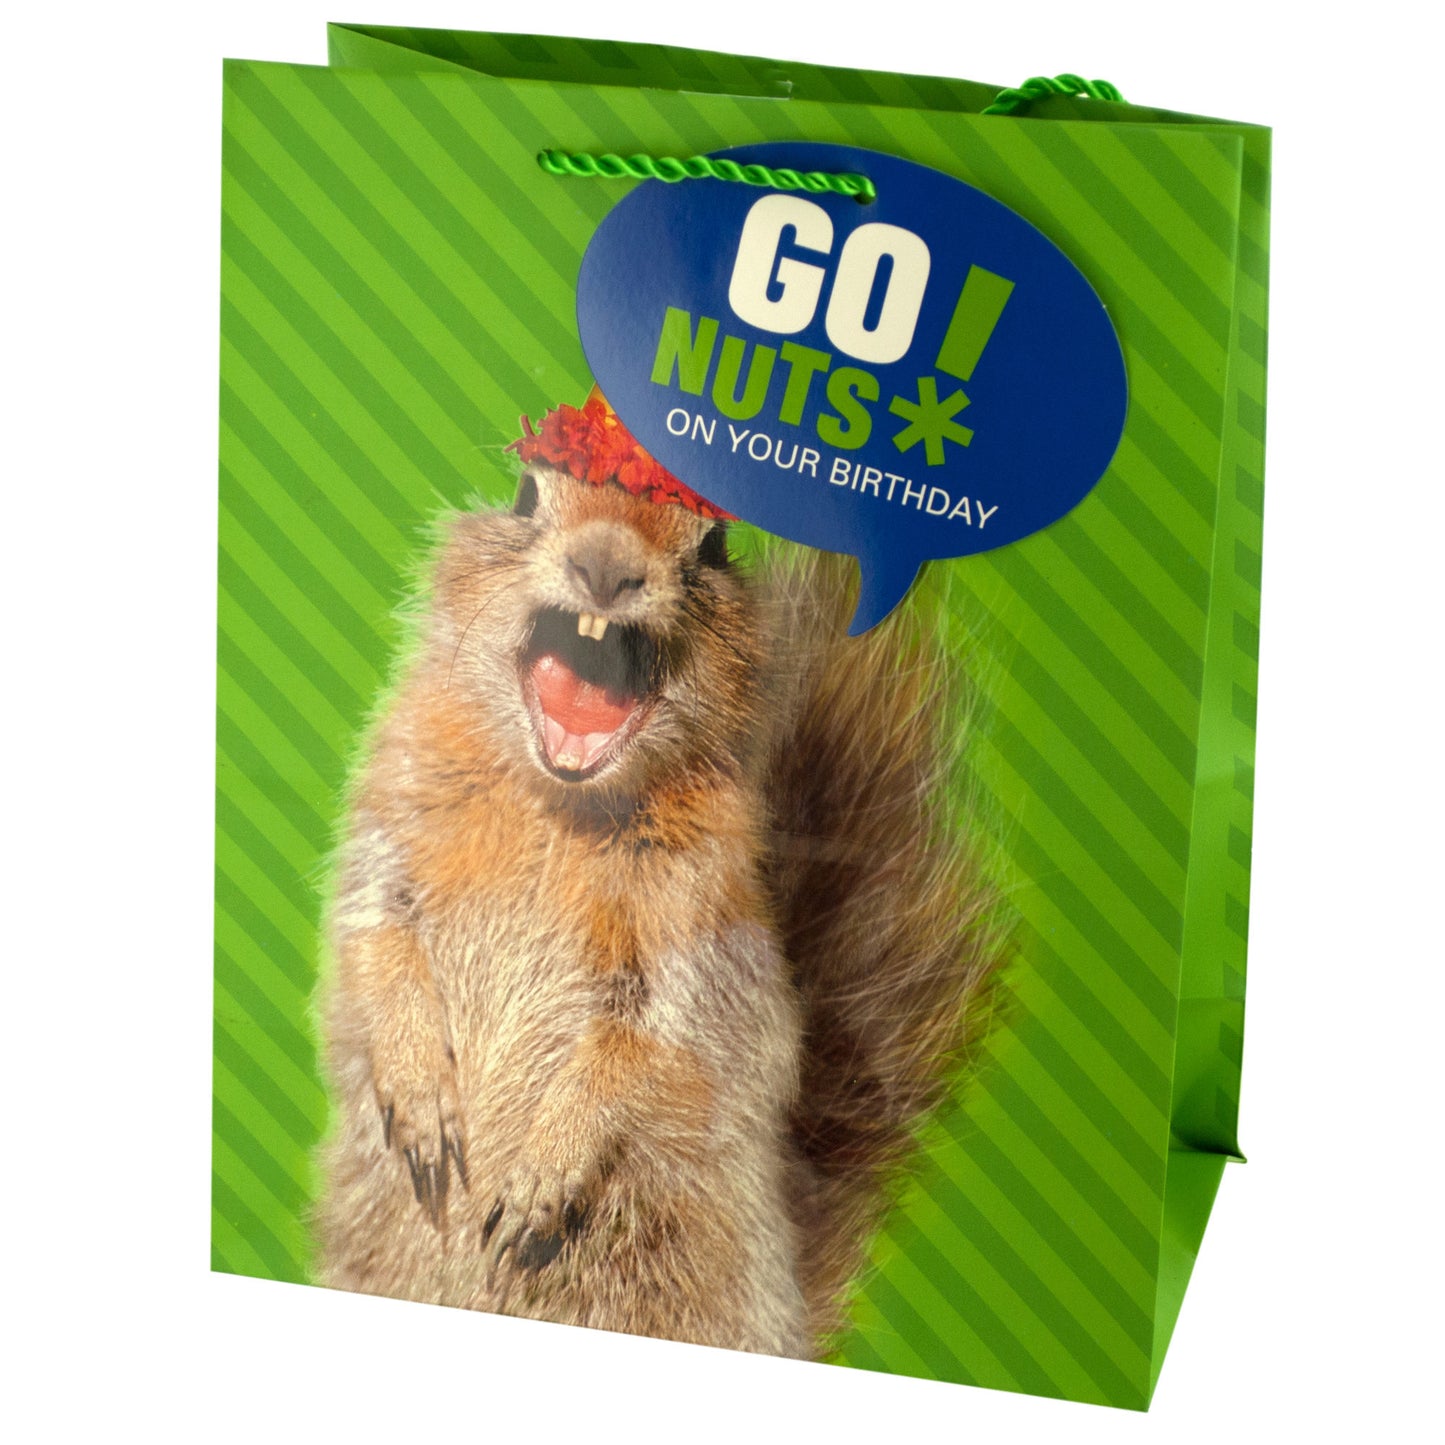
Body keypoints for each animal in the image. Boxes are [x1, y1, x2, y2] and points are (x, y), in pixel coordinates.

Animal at [314, 394, 1000, 1358]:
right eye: (525, 494)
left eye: (714, 547)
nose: (604, 567)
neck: (556, 810)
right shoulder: (391, 820)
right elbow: (374, 931)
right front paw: (418, 1097)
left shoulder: (699, 933)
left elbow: (644, 1046)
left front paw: (542, 1173)